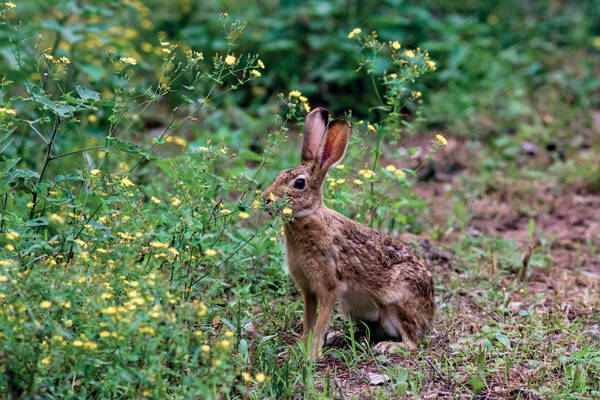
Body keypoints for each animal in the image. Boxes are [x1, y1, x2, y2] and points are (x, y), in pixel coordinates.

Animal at [260, 107, 434, 360]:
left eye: (299, 184)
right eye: (279, 175)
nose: (265, 199)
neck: (310, 217)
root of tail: (430, 313)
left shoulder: (330, 288)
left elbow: (319, 322)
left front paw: (311, 355)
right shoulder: (308, 290)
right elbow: (308, 321)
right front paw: (301, 348)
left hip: (400, 300)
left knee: (412, 341)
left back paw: (388, 346)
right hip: (352, 306)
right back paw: (337, 337)